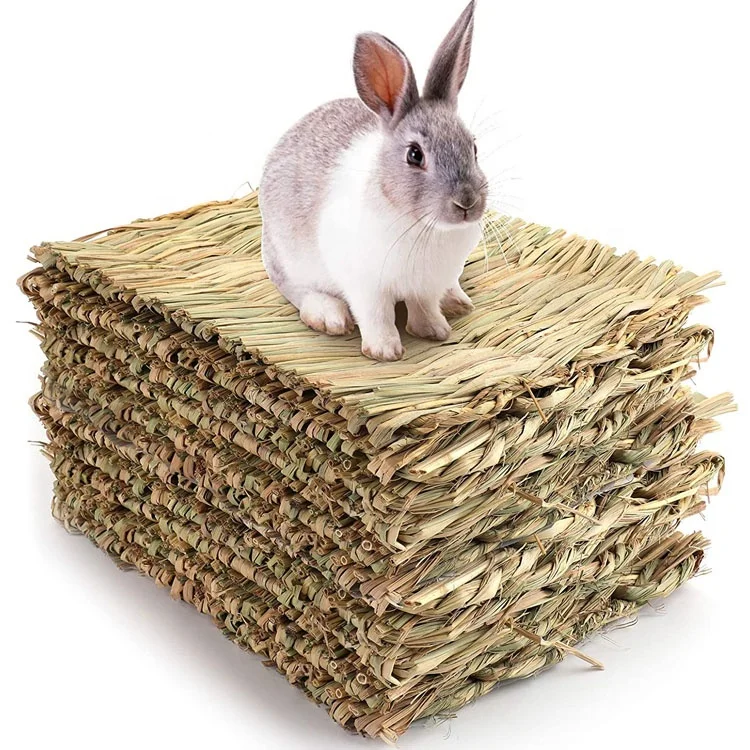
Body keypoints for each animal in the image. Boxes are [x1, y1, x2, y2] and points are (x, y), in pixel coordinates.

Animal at [259, 1, 487, 361]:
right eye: (414, 155)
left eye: (474, 147)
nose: (467, 203)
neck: (423, 226)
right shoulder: (365, 285)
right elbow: (376, 315)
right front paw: (385, 351)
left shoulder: (426, 286)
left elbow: (424, 307)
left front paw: (435, 331)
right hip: (286, 259)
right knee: (298, 290)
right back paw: (329, 316)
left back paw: (456, 301)